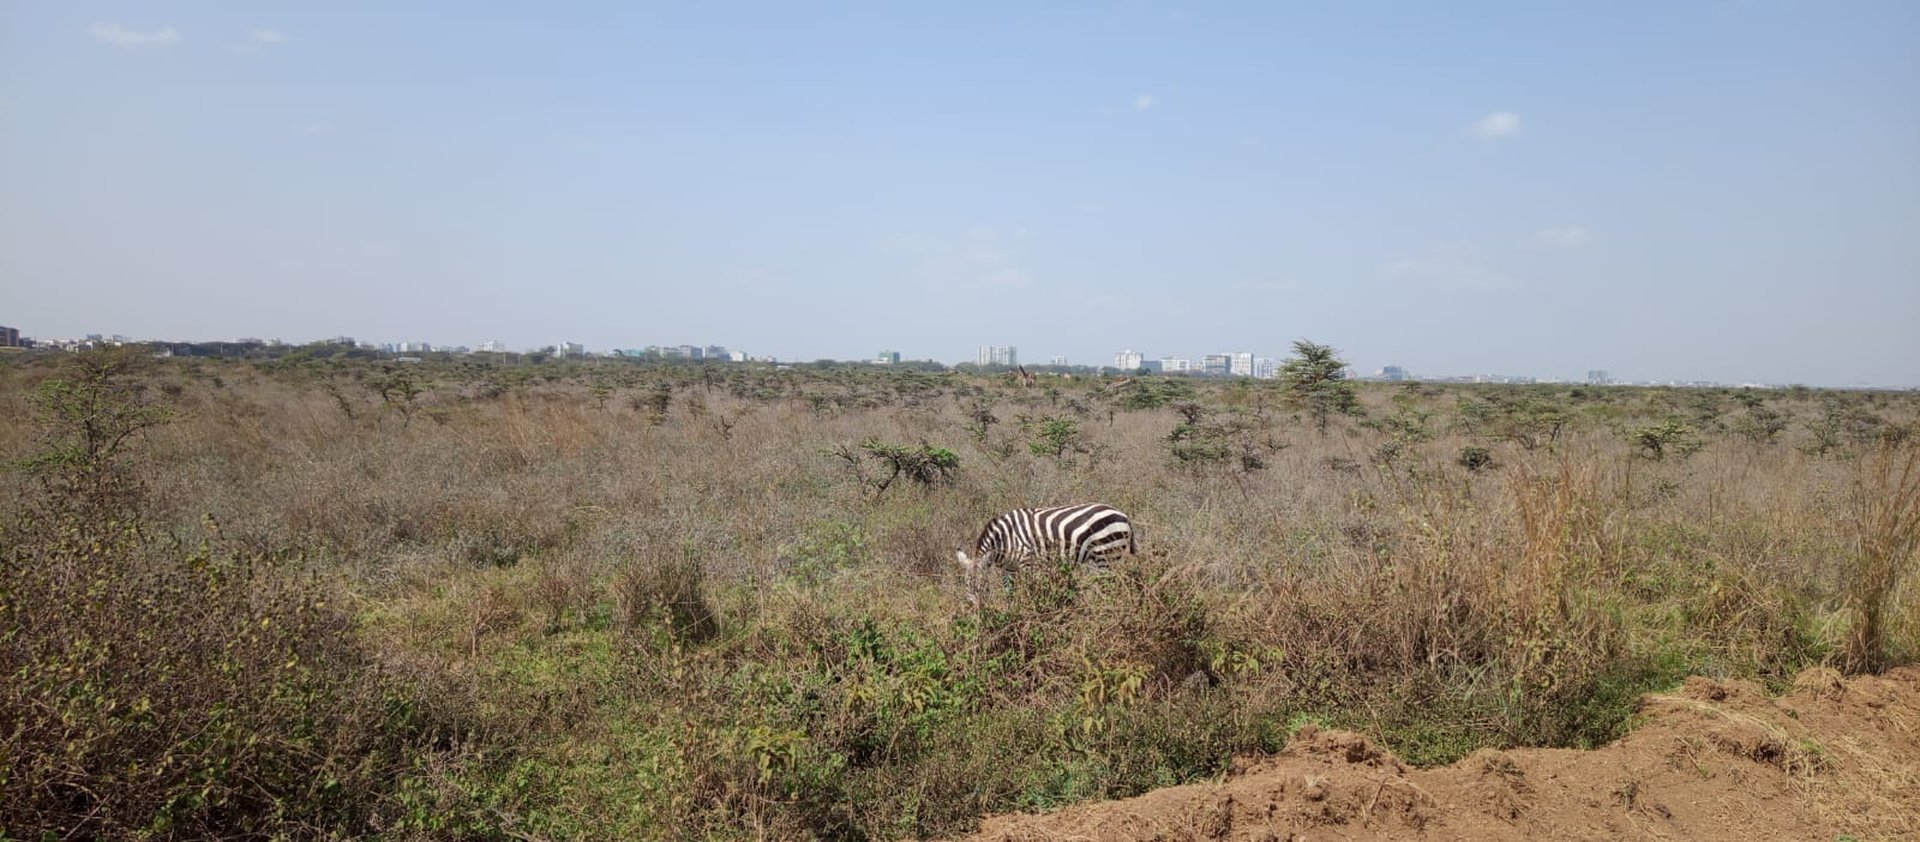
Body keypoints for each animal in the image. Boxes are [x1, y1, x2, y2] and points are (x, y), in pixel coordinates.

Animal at [955, 503, 1137, 604]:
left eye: (983, 587)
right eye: (966, 586)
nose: (978, 611)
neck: (1006, 539)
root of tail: (1123, 515)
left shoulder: (1028, 562)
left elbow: (1030, 590)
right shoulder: (1009, 569)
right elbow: (1009, 594)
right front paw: (1011, 613)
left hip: (1107, 554)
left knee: (1110, 585)